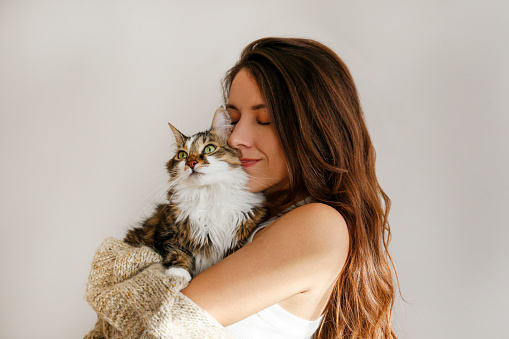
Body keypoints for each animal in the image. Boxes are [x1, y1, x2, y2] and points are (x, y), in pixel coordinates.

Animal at [123, 108, 266, 282]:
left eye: (209, 149)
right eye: (182, 155)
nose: (190, 163)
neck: (209, 194)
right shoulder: (165, 231)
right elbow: (176, 251)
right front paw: (178, 274)